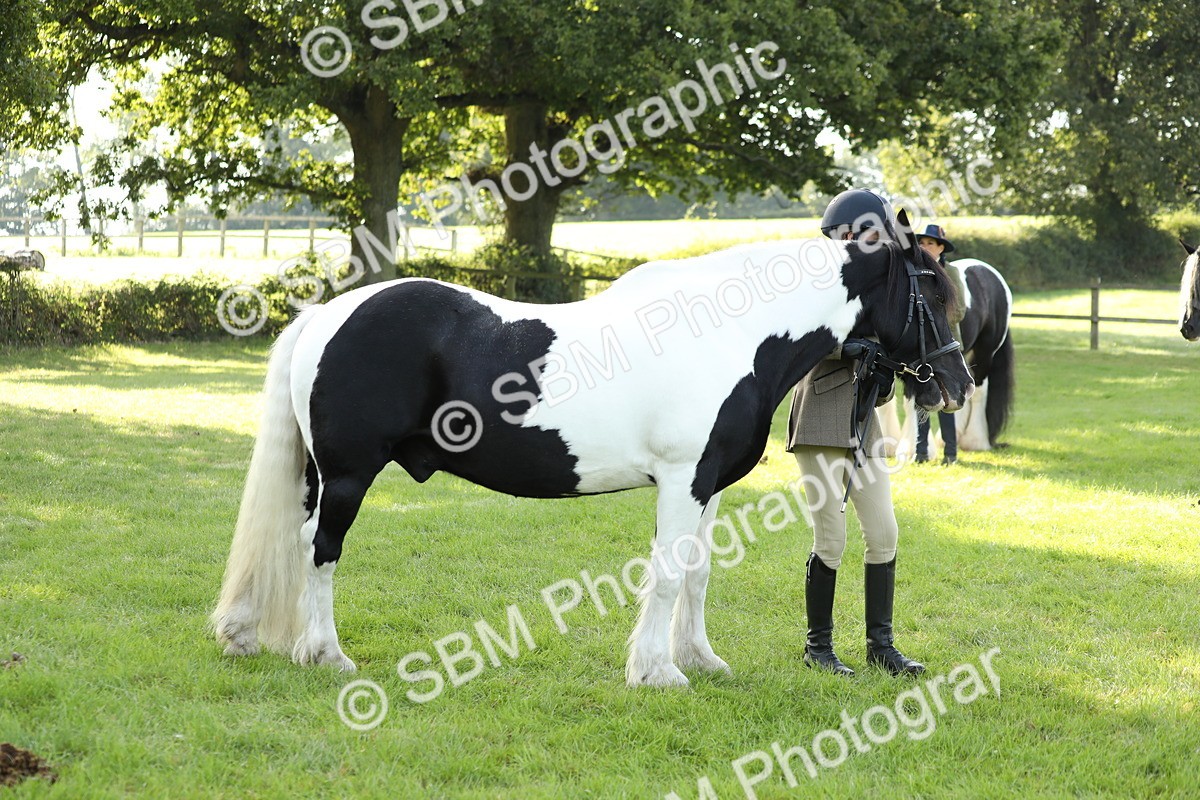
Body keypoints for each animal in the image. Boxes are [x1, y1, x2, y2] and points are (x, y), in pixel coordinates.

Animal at [212, 213, 973, 688]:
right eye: (929, 289)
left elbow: (696, 573)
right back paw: (326, 654)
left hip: (319, 476)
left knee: (292, 543)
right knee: (318, 550)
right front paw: (657, 672)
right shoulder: (680, 480)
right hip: (347, 476)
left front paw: (700, 660)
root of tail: (325, 315)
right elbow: (665, 575)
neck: (733, 333)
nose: (958, 386)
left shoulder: (708, 485)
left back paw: (254, 636)